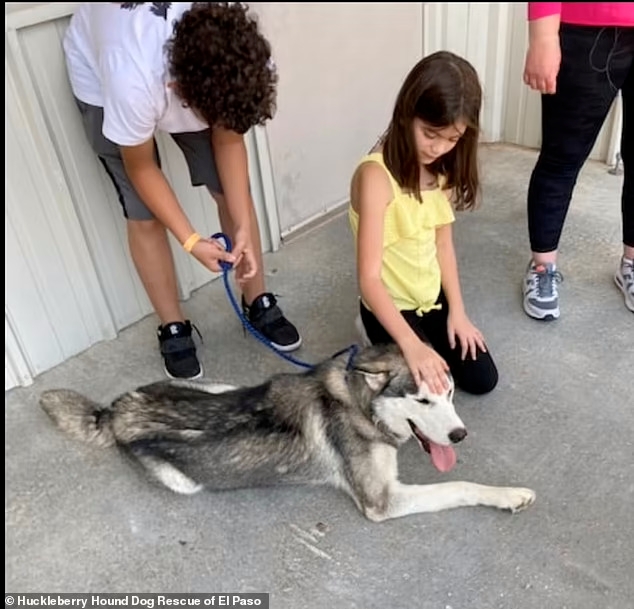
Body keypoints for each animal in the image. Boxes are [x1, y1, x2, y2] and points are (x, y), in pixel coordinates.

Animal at [39, 344, 532, 520]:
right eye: (422, 401)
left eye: (449, 393)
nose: (460, 435)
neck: (359, 404)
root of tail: (115, 410)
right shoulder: (382, 501)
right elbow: (460, 485)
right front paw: (509, 495)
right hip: (183, 481)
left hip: (220, 385)